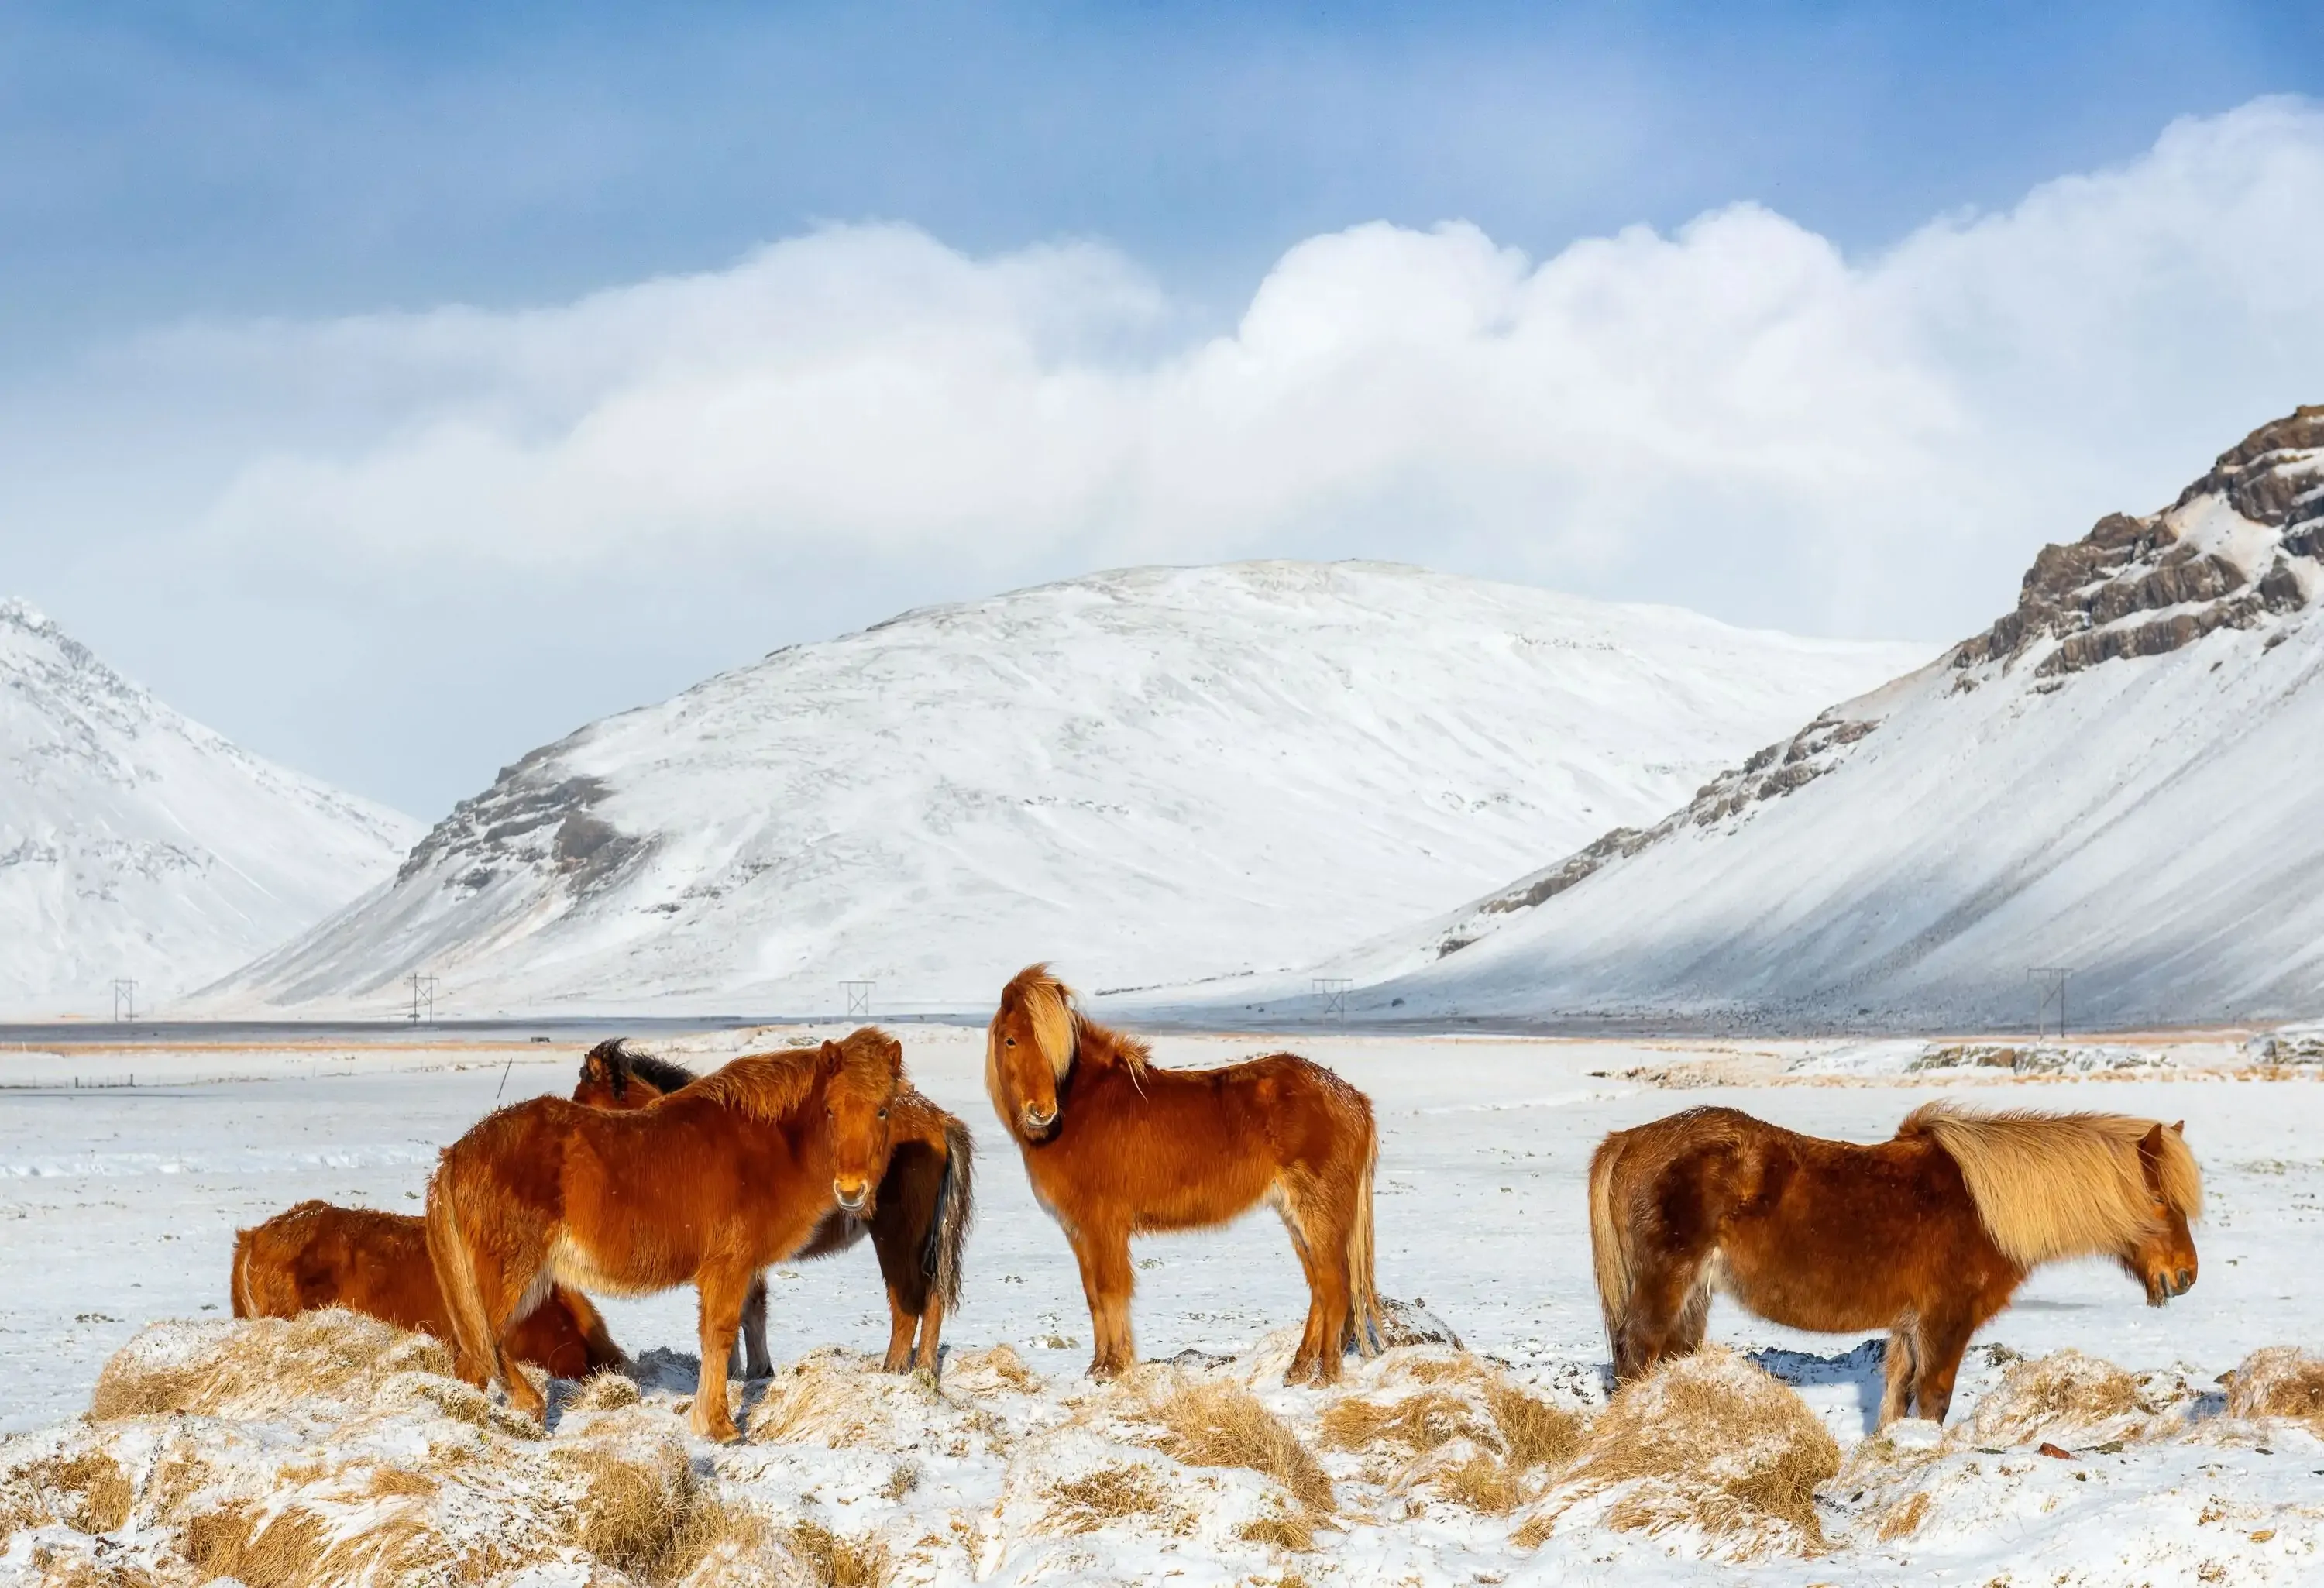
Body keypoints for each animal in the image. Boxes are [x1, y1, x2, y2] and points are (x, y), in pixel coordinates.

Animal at [427, 1028, 909, 1440]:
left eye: (882, 1109)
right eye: (830, 1109)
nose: (852, 1190)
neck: (766, 1143)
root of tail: (457, 1153)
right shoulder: (729, 1266)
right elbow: (720, 1333)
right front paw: (719, 1427)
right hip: (512, 1275)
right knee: (482, 1346)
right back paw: (519, 1407)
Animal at [573, 1038, 973, 1375]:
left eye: (584, 1103)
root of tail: (938, 1120)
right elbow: (748, 1309)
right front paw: (752, 1371)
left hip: (896, 1236)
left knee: (908, 1304)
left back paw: (893, 1372)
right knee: (932, 1299)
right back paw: (924, 1373)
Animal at [985, 964, 1383, 1385]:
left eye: (1055, 1046)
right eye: (1010, 1040)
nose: (1042, 1111)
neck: (1085, 1106)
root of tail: (1352, 1098)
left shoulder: (1103, 1226)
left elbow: (1111, 1291)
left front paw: (1113, 1368)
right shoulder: (1079, 1232)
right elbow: (1094, 1296)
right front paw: (1097, 1367)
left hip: (1319, 1216)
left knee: (1336, 1288)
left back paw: (1325, 1376)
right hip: (1296, 1218)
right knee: (1320, 1289)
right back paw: (1299, 1370)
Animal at [1587, 1102, 2203, 1426]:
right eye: (2158, 1198)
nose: (2186, 1276)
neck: (1983, 1208)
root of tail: (1627, 1141)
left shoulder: (1909, 1327)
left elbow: (1895, 1400)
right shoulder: (1946, 1322)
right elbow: (1933, 1400)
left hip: (1694, 1298)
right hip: (1665, 1290)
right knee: (1637, 1357)